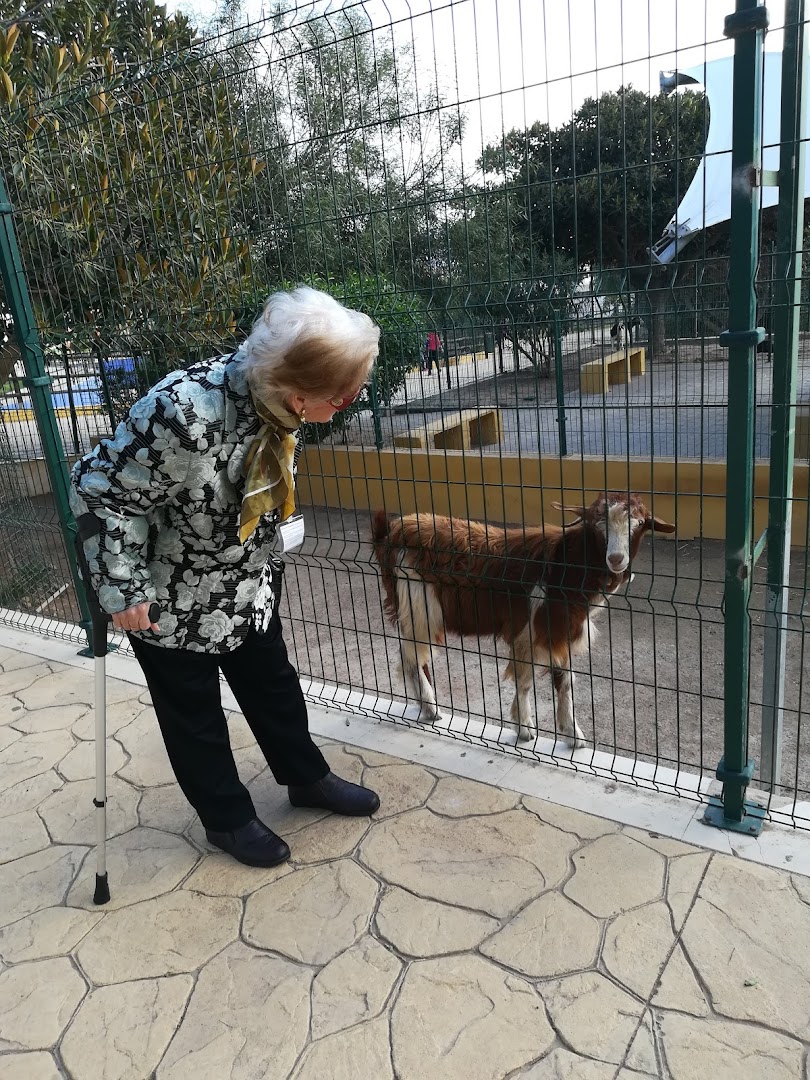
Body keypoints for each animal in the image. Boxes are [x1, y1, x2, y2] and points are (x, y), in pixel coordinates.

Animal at [373, 494, 678, 747]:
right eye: (596, 525)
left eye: (640, 524)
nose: (616, 559)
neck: (565, 565)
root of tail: (393, 530)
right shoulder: (534, 629)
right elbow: (526, 680)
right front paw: (526, 729)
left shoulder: (562, 629)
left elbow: (565, 680)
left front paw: (572, 734)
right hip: (417, 605)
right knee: (412, 657)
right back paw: (431, 707)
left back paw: (427, 707)